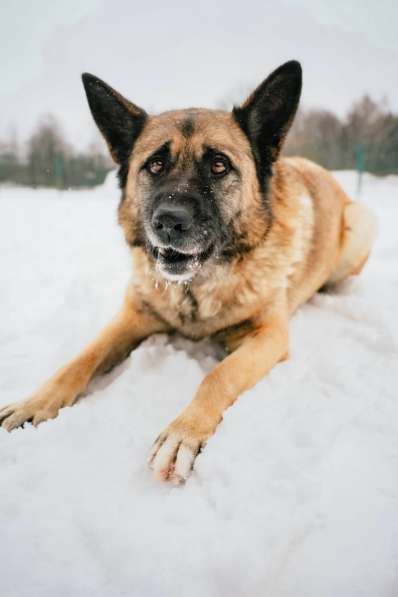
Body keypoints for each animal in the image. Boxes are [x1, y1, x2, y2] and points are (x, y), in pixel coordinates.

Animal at [0, 60, 374, 482]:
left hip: (361, 223)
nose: (168, 221)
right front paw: (34, 402)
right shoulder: (132, 316)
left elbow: (217, 376)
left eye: (219, 165)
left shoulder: (269, 335)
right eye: (155, 164)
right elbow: (79, 360)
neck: (195, 287)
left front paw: (182, 434)